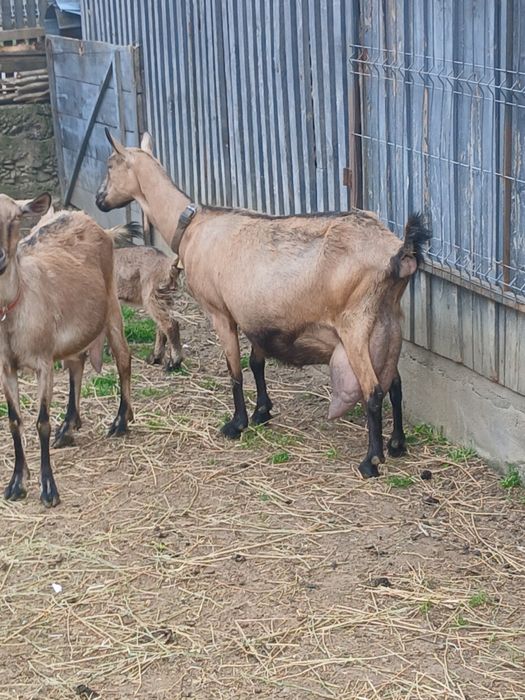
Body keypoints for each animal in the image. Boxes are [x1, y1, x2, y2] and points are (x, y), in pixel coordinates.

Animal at [0, 193, 133, 507]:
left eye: (15, 219)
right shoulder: (5, 366)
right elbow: (13, 421)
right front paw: (16, 483)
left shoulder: (43, 361)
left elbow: (41, 423)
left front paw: (48, 488)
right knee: (77, 363)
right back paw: (69, 424)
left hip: (111, 304)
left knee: (123, 358)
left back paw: (121, 421)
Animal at [97, 131, 430, 478]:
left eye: (110, 165)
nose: (99, 200)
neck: (192, 226)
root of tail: (398, 252)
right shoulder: (255, 317)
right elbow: (256, 363)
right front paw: (262, 412)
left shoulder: (220, 312)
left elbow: (235, 369)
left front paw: (237, 424)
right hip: (388, 323)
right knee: (395, 384)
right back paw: (397, 444)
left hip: (355, 326)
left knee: (373, 391)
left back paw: (371, 460)